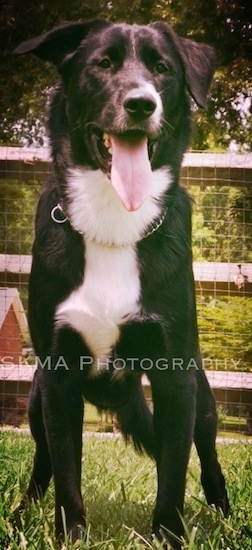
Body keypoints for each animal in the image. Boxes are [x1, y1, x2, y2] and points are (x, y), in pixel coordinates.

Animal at [14, 19, 229, 548]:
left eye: (162, 68)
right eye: (103, 63)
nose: (141, 104)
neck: (115, 222)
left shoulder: (176, 376)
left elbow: (173, 476)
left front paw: (170, 536)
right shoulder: (58, 376)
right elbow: (67, 474)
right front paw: (70, 535)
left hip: (204, 398)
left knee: (209, 458)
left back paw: (225, 515)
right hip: (34, 400)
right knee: (43, 463)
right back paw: (22, 512)